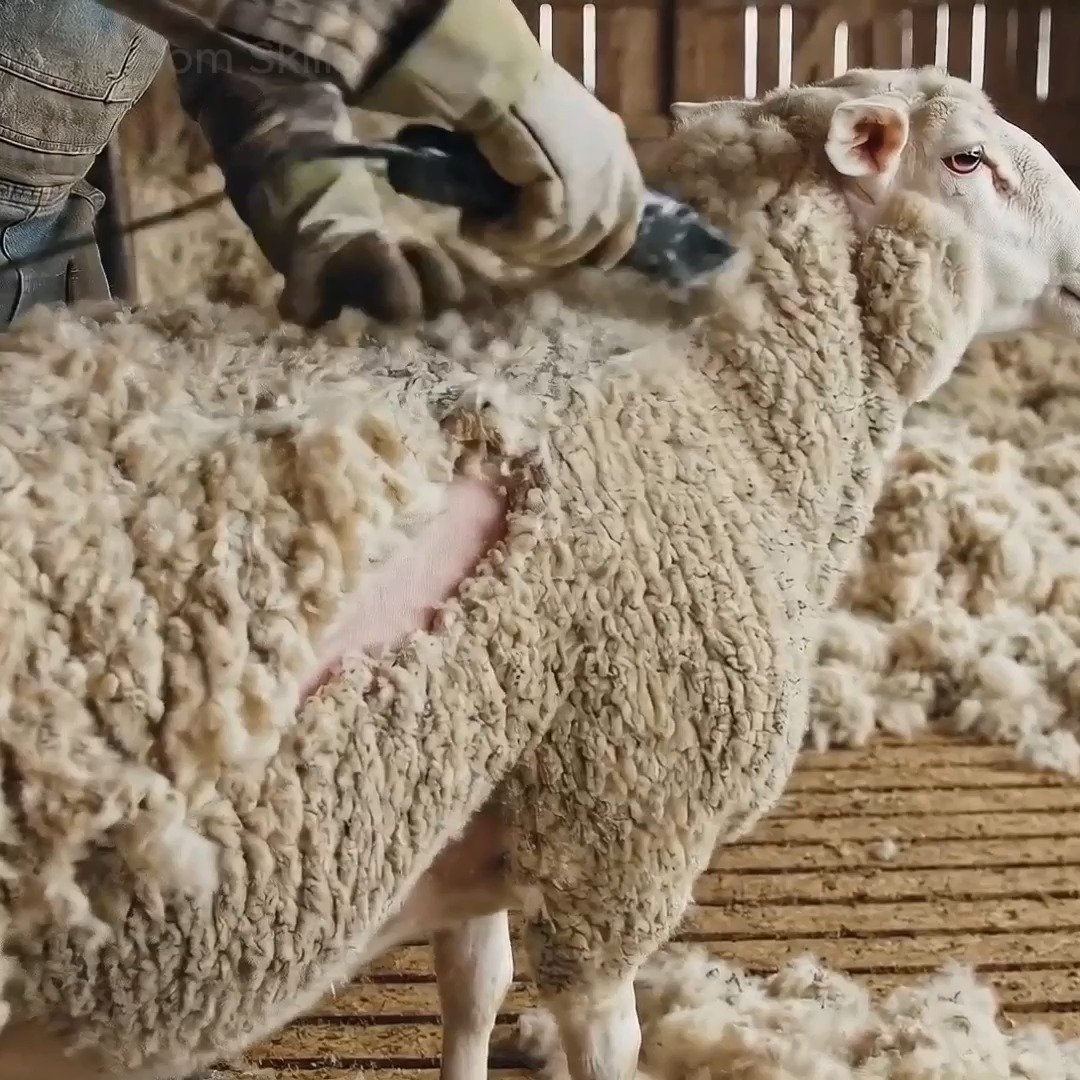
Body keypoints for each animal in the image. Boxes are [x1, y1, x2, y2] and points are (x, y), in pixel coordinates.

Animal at [2, 64, 1080, 1080]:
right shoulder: (625, 830)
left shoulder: (484, 798)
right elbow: (603, 1037)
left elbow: (473, 985)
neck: (727, 395)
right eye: (967, 159)